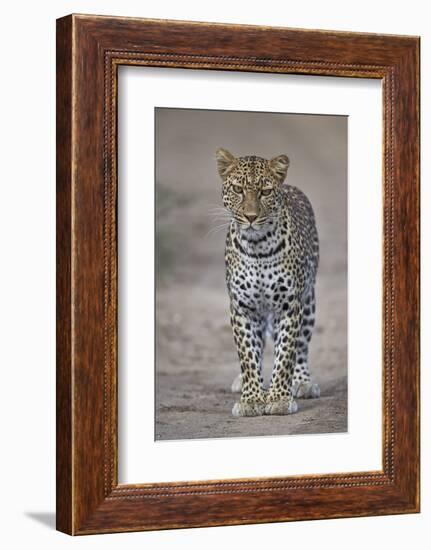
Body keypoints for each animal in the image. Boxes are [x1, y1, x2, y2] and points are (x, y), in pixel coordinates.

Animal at [216, 148, 320, 418]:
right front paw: (252, 399)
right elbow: (247, 355)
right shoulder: (242, 308)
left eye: (265, 191)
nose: (251, 217)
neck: (257, 246)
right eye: (238, 189)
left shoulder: (289, 306)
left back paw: (302, 382)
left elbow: (285, 356)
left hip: (309, 301)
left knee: (302, 347)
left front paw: (279, 398)